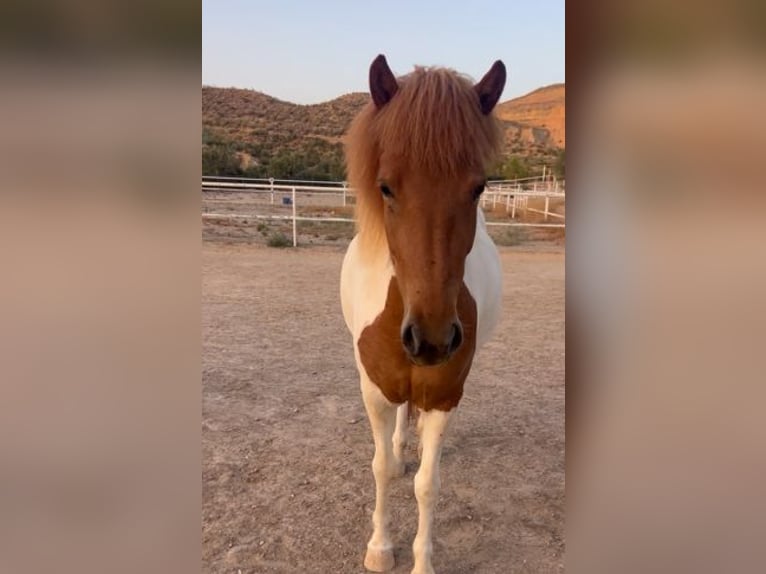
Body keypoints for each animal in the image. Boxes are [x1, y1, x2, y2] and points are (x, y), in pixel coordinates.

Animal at [340, 54, 505, 574]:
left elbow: (427, 485)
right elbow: (380, 469)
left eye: (479, 188)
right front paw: (379, 547)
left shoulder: (444, 396)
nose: (431, 339)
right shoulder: (373, 392)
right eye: (385, 187)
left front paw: (422, 561)